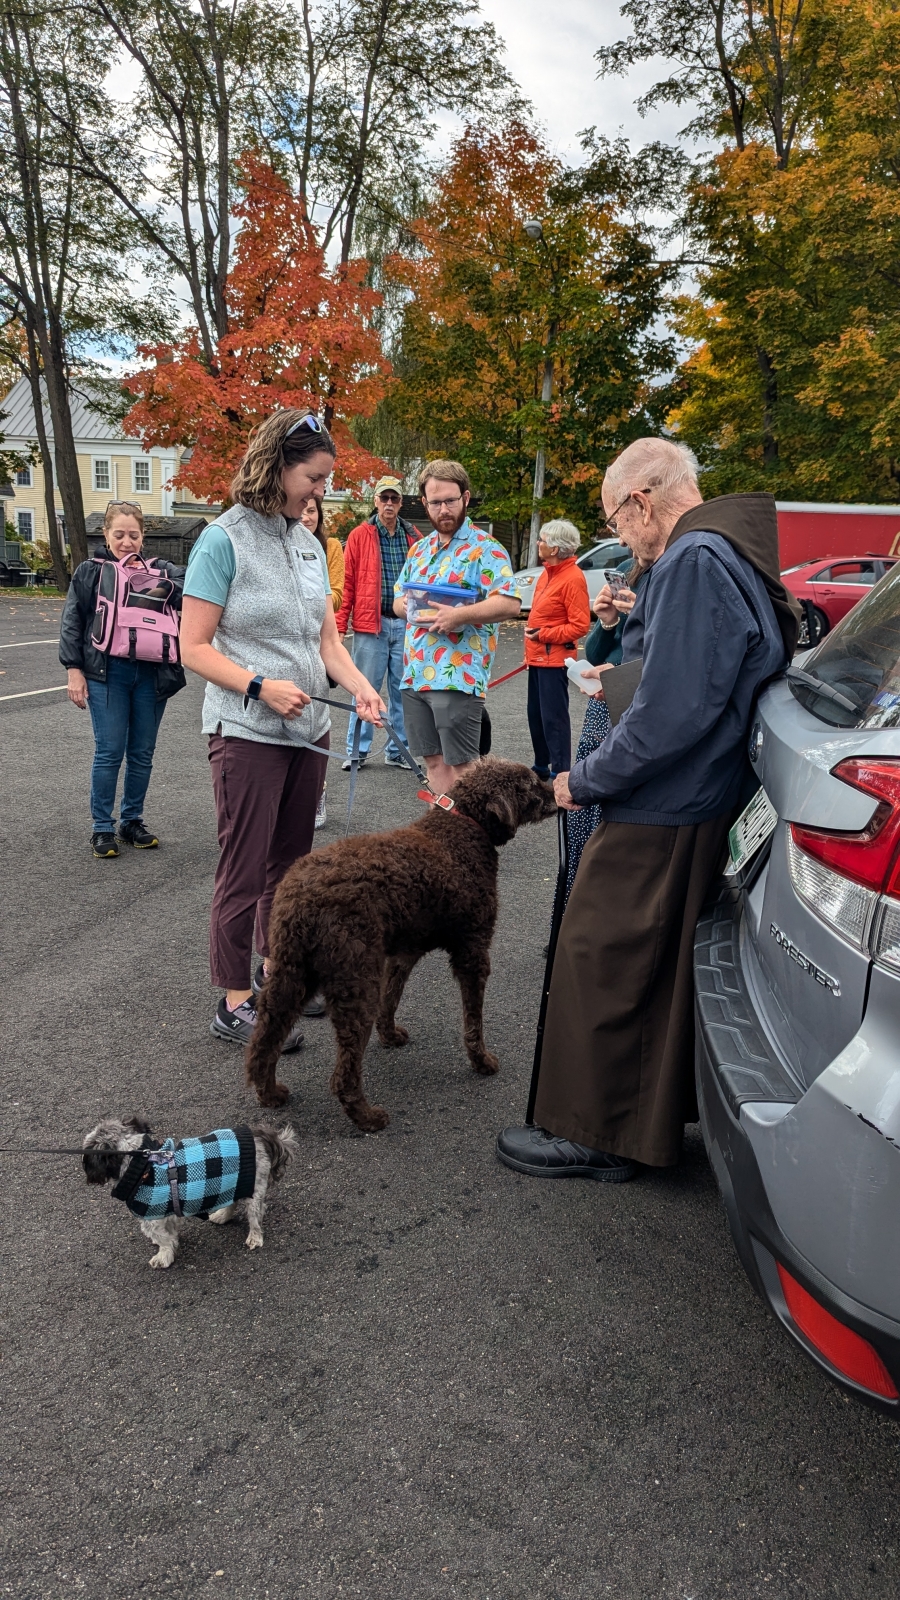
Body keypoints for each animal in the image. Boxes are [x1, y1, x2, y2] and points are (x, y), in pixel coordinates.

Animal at [82, 1120, 296, 1267]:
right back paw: (222, 1216)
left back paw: (255, 1237)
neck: (141, 1166)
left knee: (255, 1214)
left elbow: (163, 1238)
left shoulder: (151, 1218)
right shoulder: (167, 1210)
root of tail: (259, 1136)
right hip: (232, 1183)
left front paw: (163, 1256)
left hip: (253, 1187)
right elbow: (169, 1231)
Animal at [243, 758, 554, 1126]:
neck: (463, 827)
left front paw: (389, 1035)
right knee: (343, 1071)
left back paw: (270, 1093)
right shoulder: (473, 950)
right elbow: (473, 1019)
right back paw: (366, 1116)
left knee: (265, 1039)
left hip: (290, 971)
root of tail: (302, 898)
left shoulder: (404, 952)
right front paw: (481, 1060)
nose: (555, 791)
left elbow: (391, 997)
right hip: (356, 978)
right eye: (531, 784)